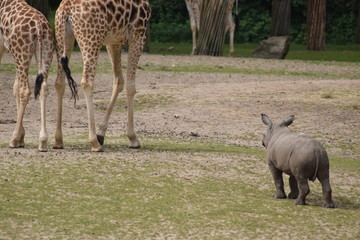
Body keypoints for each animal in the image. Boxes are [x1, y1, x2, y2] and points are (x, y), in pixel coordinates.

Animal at [0, 0, 53, 152]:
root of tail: (40, 26)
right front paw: (22, 138)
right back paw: (43, 141)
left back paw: (13, 139)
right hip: (45, 51)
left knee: (25, 90)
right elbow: (15, 87)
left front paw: (19, 138)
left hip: (21, 53)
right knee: (43, 88)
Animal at [54, 0, 152, 152]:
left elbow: (119, 81)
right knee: (87, 81)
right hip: (91, 40)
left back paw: (58, 140)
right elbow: (131, 87)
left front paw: (101, 134)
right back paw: (94, 142)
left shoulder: (114, 41)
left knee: (59, 81)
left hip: (63, 38)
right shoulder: (138, 34)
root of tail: (66, 8)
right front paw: (133, 138)